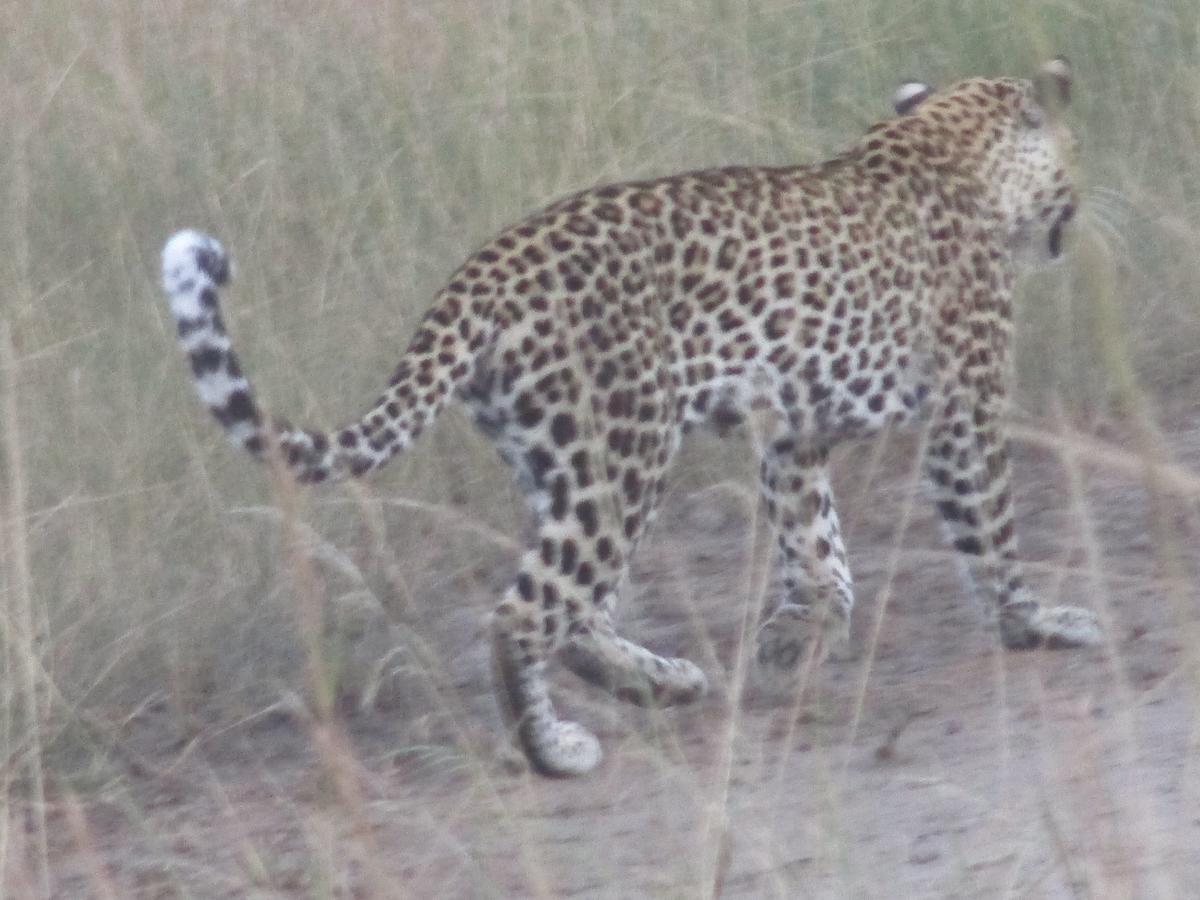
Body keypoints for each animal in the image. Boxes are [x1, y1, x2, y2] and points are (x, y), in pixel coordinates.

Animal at [164, 58, 1099, 777]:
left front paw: (802, 632)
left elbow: (814, 540)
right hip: (621, 456)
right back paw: (556, 750)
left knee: (576, 614)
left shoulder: (792, 432)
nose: (1079, 209)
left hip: (559, 458)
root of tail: (481, 270)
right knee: (525, 616)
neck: (948, 144)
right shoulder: (966, 405)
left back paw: (663, 684)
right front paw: (1039, 624)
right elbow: (989, 528)